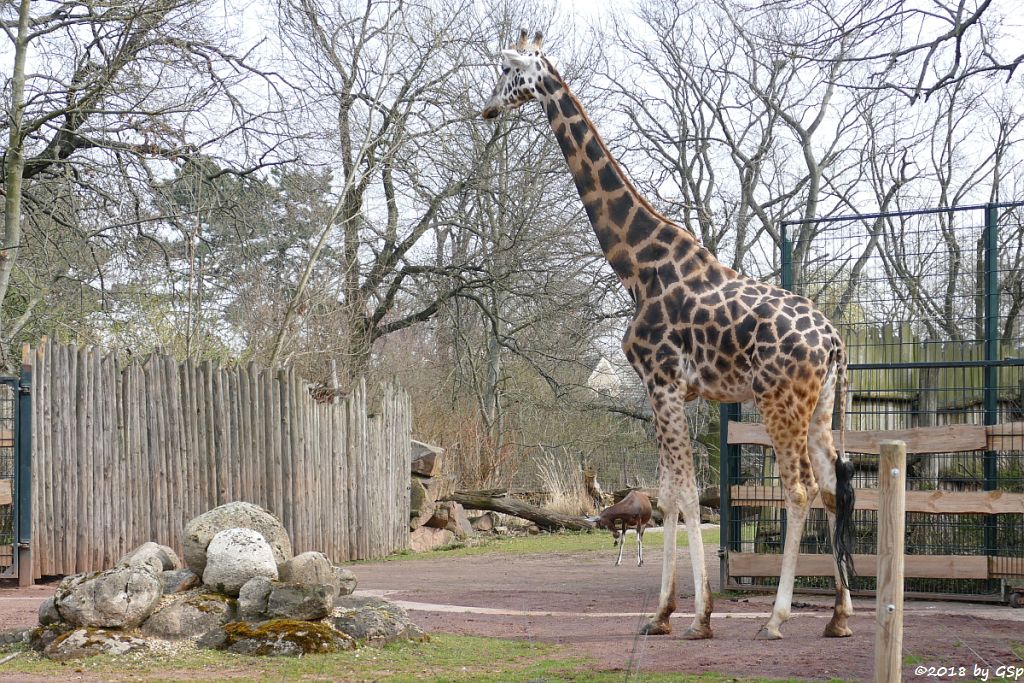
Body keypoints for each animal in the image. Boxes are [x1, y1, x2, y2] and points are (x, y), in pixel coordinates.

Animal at [483, 30, 860, 643]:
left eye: (509, 72)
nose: (488, 108)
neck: (637, 265)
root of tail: (833, 343)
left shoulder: (660, 382)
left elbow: (678, 495)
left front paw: (688, 616)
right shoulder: (675, 390)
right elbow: (669, 495)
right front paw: (671, 613)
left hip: (780, 402)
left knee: (800, 490)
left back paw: (776, 618)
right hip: (823, 407)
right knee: (832, 487)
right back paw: (839, 617)